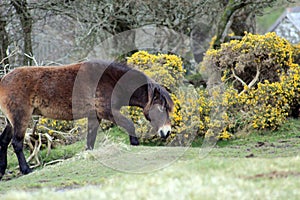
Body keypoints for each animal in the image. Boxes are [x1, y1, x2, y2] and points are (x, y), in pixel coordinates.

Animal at [0, 60, 173, 179]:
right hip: (20, 118)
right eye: (161, 108)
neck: (111, 80)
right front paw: (135, 143)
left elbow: (90, 140)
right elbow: (129, 124)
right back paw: (26, 169)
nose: (166, 132)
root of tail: (3, 81)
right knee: (16, 143)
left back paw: (2, 171)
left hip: (10, 122)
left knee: (4, 141)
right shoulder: (106, 111)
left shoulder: (94, 116)